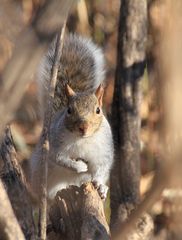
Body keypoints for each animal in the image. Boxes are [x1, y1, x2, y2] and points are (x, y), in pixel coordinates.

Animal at [30, 33, 114, 199]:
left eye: (98, 110)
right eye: (69, 110)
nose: (83, 127)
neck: (84, 140)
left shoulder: (104, 151)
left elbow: (102, 168)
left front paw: (101, 186)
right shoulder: (54, 144)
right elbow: (60, 159)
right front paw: (79, 166)